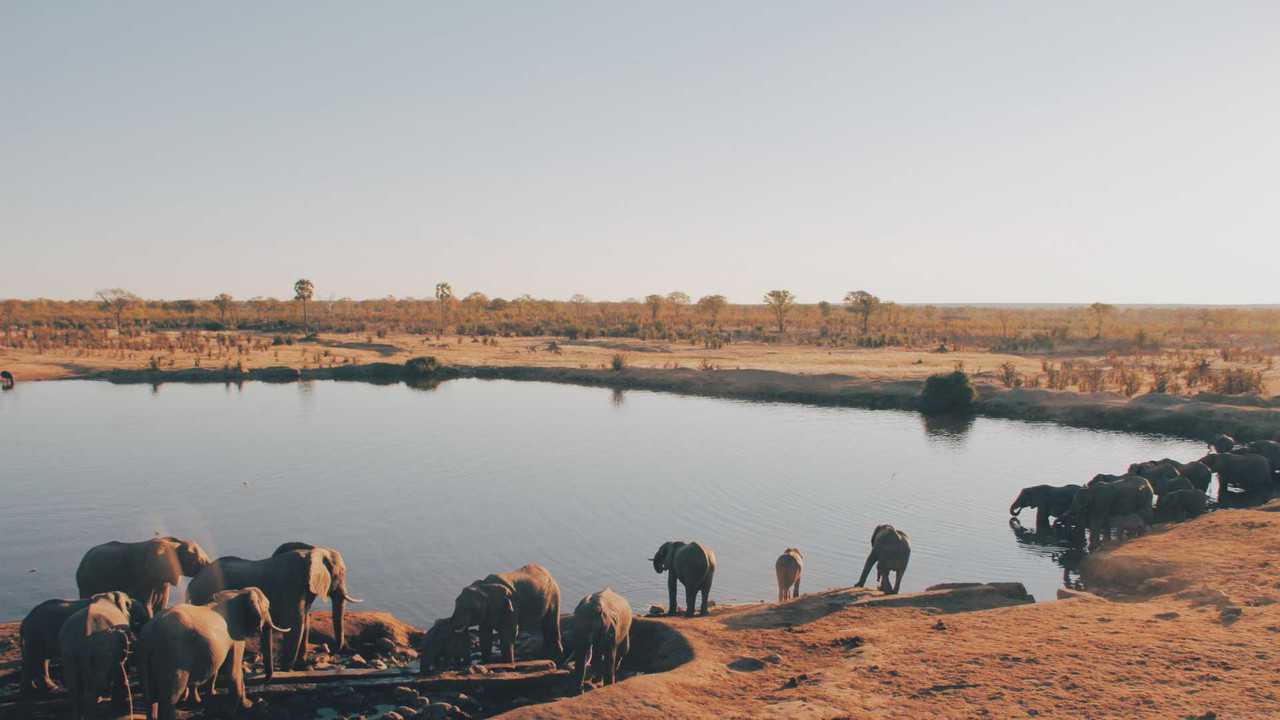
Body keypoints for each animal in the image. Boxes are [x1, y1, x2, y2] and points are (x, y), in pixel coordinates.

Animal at [17, 589, 147, 696]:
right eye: (128, 604)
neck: (107, 596)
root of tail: (26, 620)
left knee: (38, 659)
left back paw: (37, 690)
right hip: (35, 634)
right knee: (36, 658)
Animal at [58, 589, 147, 717]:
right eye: (128, 604)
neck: (105, 597)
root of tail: (83, 636)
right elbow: (122, 668)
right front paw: (119, 708)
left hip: (68, 651)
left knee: (74, 686)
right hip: (101, 651)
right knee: (95, 685)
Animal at [77, 535, 211, 614]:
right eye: (195, 558)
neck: (173, 543)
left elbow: (160, 606)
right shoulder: (144, 577)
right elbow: (146, 606)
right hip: (87, 581)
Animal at [141, 584, 289, 717]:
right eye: (267, 607)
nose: (265, 680)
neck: (239, 592)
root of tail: (150, 636)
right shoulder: (236, 634)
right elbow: (234, 671)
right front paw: (241, 708)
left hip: (145, 656)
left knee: (149, 700)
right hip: (172, 657)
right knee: (169, 699)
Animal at [185, 540, 358, 671]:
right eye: (341, 573)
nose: (332, 650)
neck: (314, 551)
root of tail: (191, 584)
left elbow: (305, 621)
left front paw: (302, 666)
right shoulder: (292, 585)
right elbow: (295, 623)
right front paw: (288, 669)